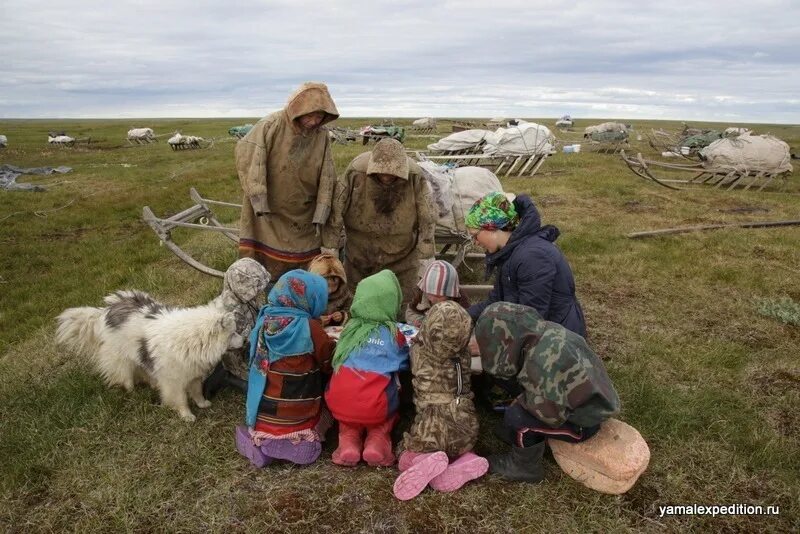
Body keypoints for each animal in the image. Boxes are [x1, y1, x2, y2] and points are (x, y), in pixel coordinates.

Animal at [55, 294, 242, 422]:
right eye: (233, 333)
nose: (245, 340)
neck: (192, 339)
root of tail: (103, 312)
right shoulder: (174, 381)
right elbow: (181, 399)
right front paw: (186, 415)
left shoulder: (193, 374)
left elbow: (197, 392)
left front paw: (203, 404)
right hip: (123, 361)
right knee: (127, 378)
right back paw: (132, 392)